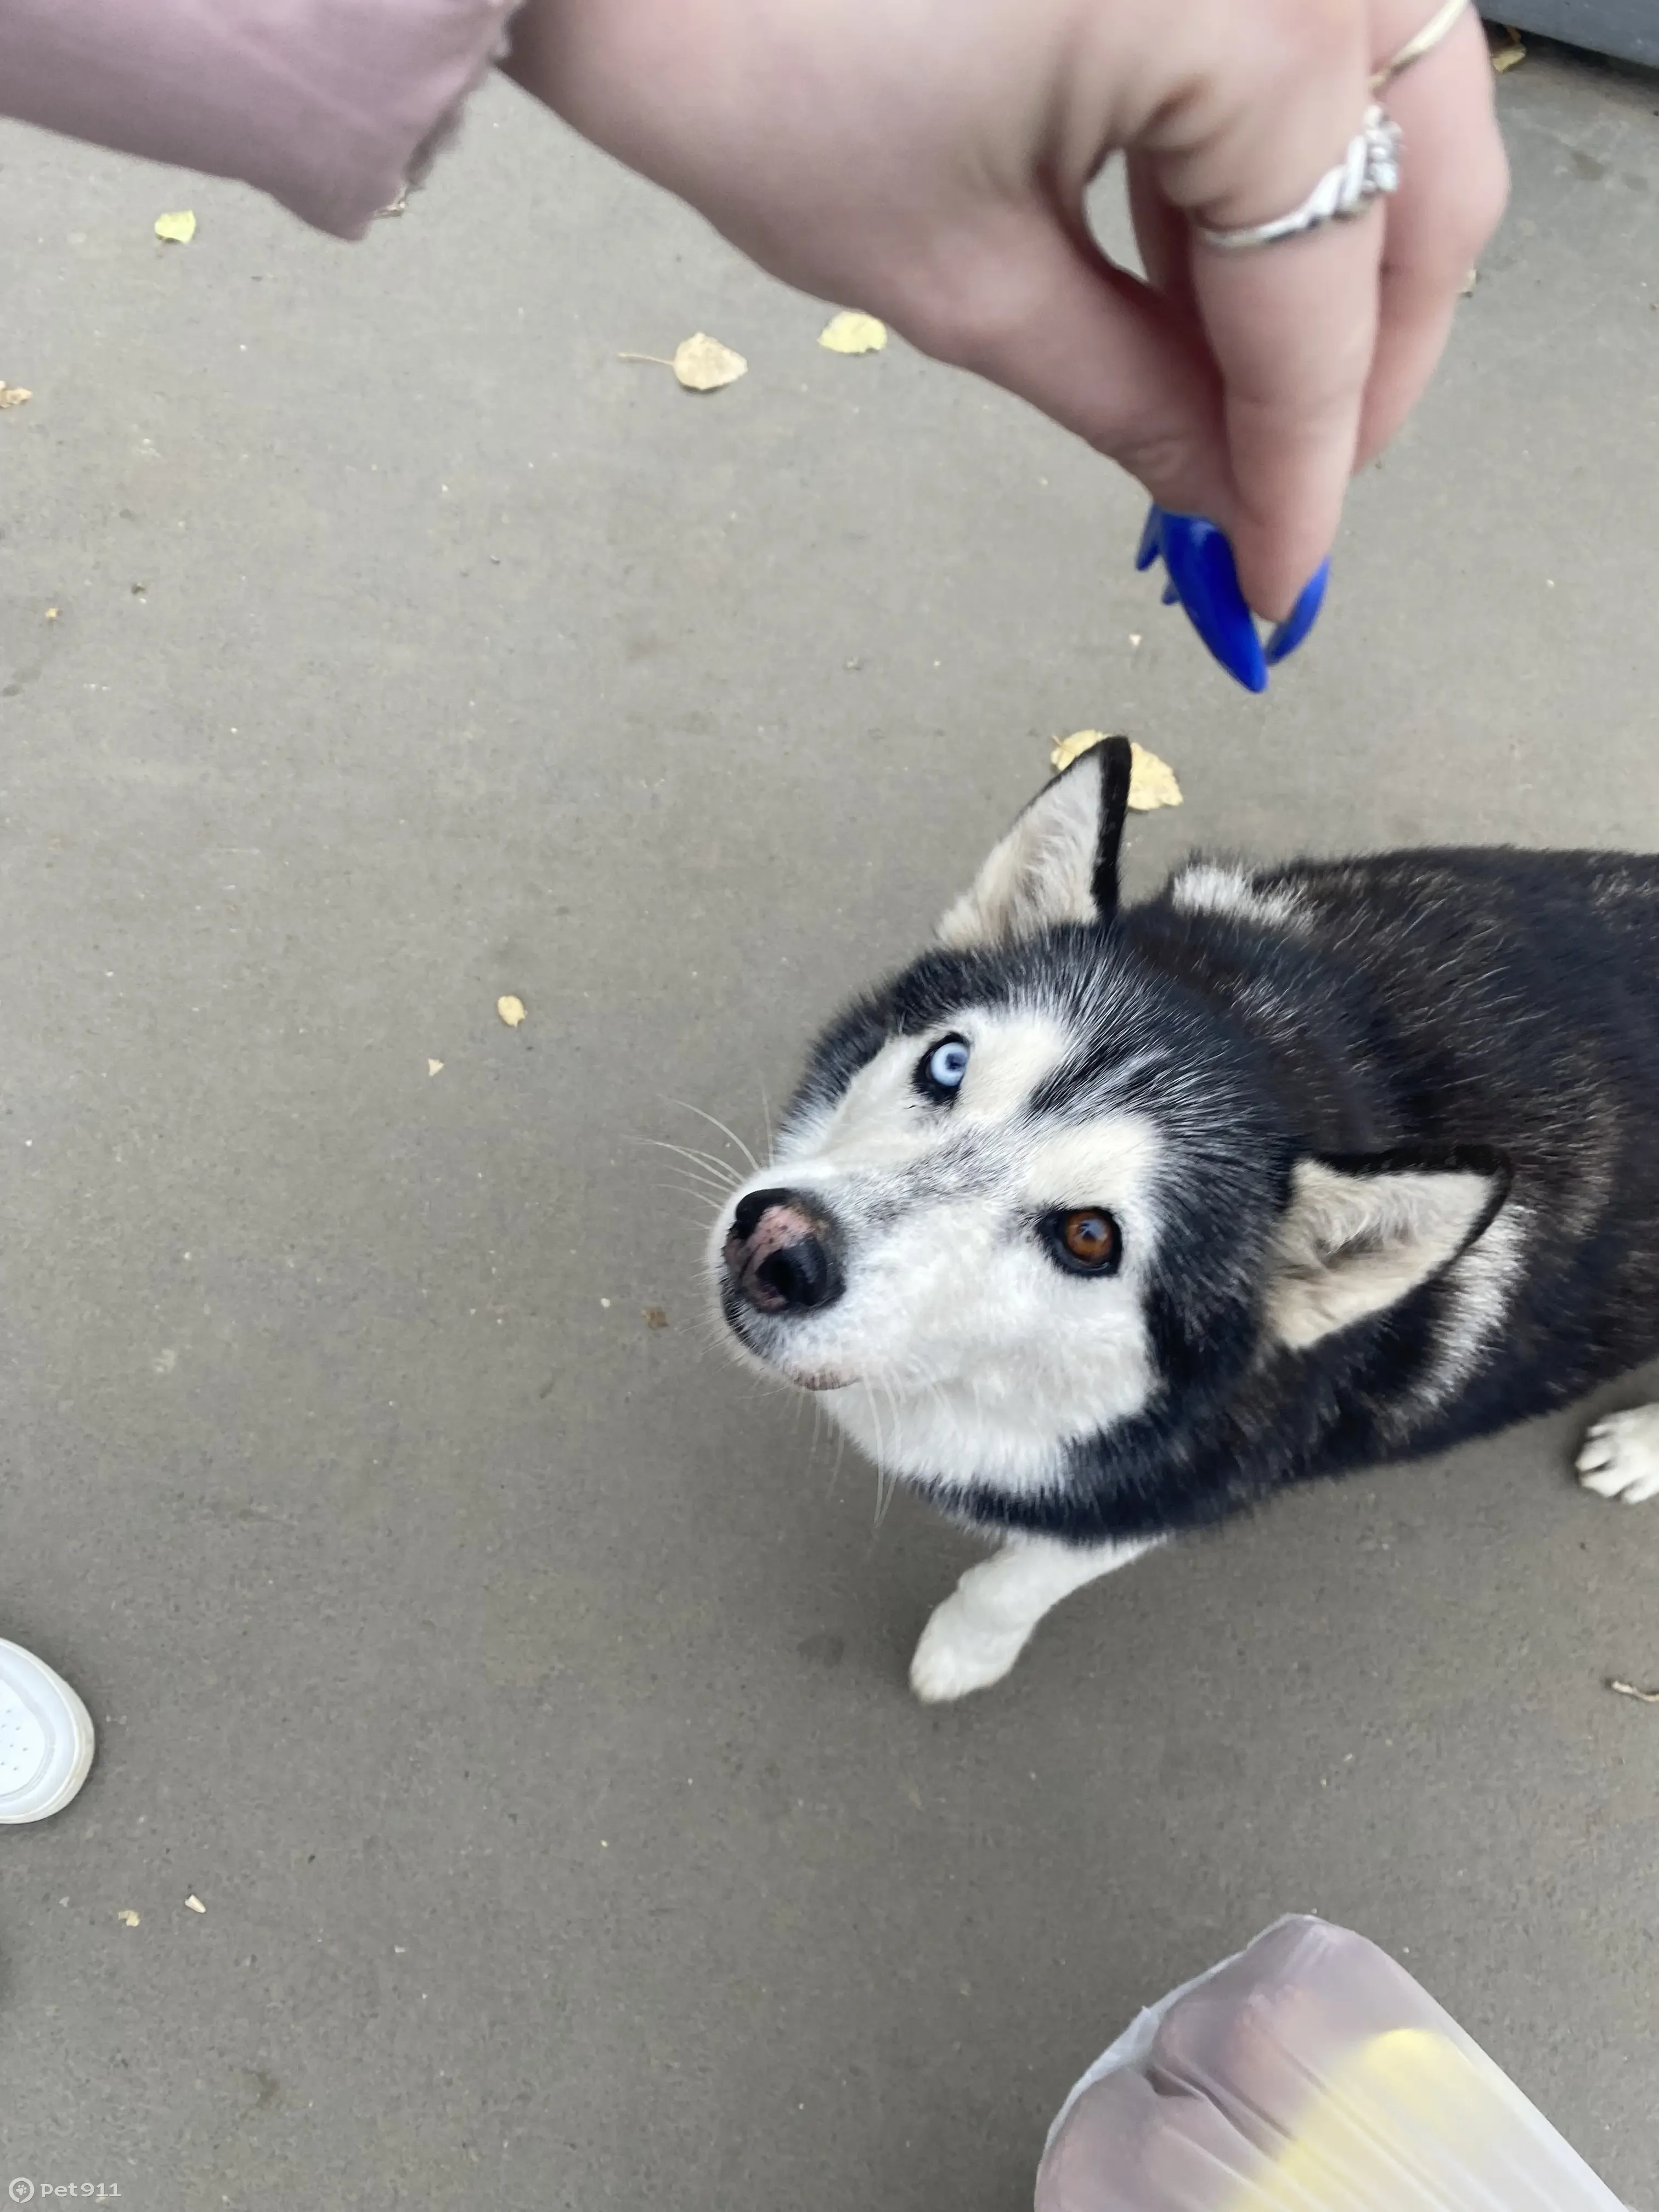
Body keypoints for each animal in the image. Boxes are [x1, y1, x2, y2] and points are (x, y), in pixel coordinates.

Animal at [708, 734, 1659, 1699]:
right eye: (948, 1063)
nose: (778, 1248)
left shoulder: (1170, 1491)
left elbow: (1021, 1577)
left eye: (1090, 1237)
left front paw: (966, 1650)